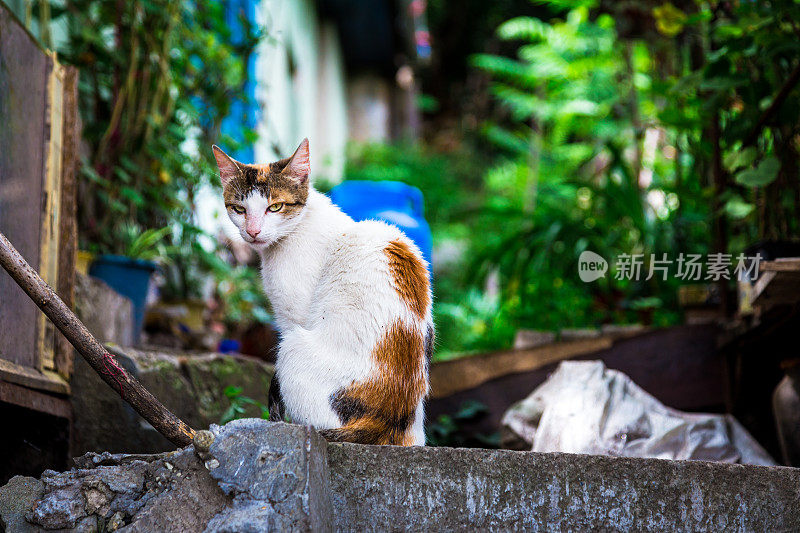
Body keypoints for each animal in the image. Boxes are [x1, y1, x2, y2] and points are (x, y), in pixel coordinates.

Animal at [212, 138, 434, 444]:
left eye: (275, 207)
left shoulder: (293, 317)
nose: (253, 232)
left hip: (293, 347)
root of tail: (387, 418)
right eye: (239, 209)